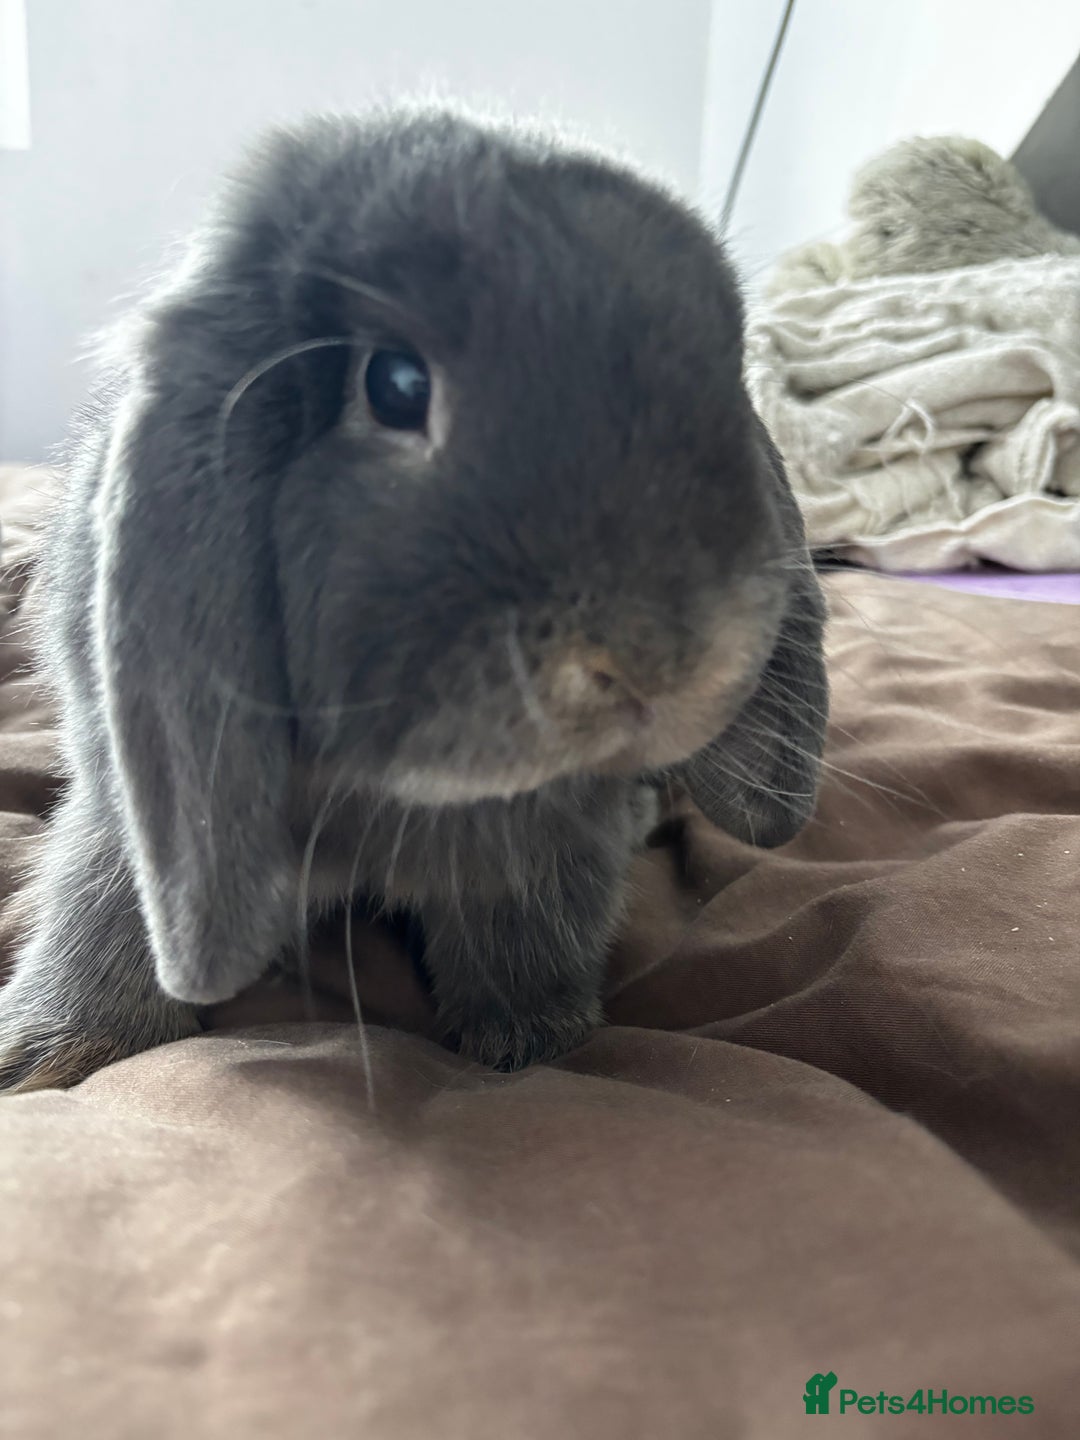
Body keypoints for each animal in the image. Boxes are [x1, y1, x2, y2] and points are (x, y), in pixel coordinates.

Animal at [0, 108, 828, 1092]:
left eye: (726, 369)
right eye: (395, 386)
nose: (669, 664)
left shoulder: (551, 849)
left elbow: (523, 938)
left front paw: (530, 1045)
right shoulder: (129, 813)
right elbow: (100, 921)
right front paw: (53, 1059)